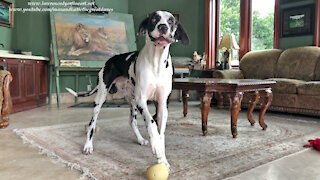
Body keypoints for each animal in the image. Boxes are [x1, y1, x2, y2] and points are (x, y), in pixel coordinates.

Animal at [66, 10, 189, 169]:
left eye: (171, 20)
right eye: (154, 18)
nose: (163, 27)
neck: (156, 62)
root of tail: (110, 60)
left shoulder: (162, 104)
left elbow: (161, 133)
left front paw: (162, 159)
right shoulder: (142, 100)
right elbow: (151, 122)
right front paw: (156, 145)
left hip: (132, 101)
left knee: (132, 121)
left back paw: (140, 139)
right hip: (101, 98)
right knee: (91, 124)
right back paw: (88, 146)